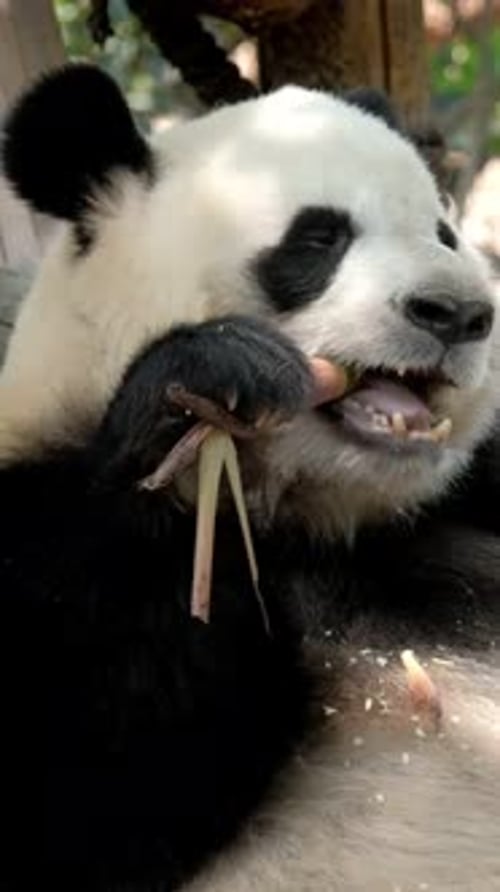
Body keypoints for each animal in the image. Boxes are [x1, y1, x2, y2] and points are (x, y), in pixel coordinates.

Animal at [1, 63, 500, 891]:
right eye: (320, 237)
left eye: (444, 232)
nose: (458, 312)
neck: (316, 521)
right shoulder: (46, 532)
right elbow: (90, 802)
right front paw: (207, 379)